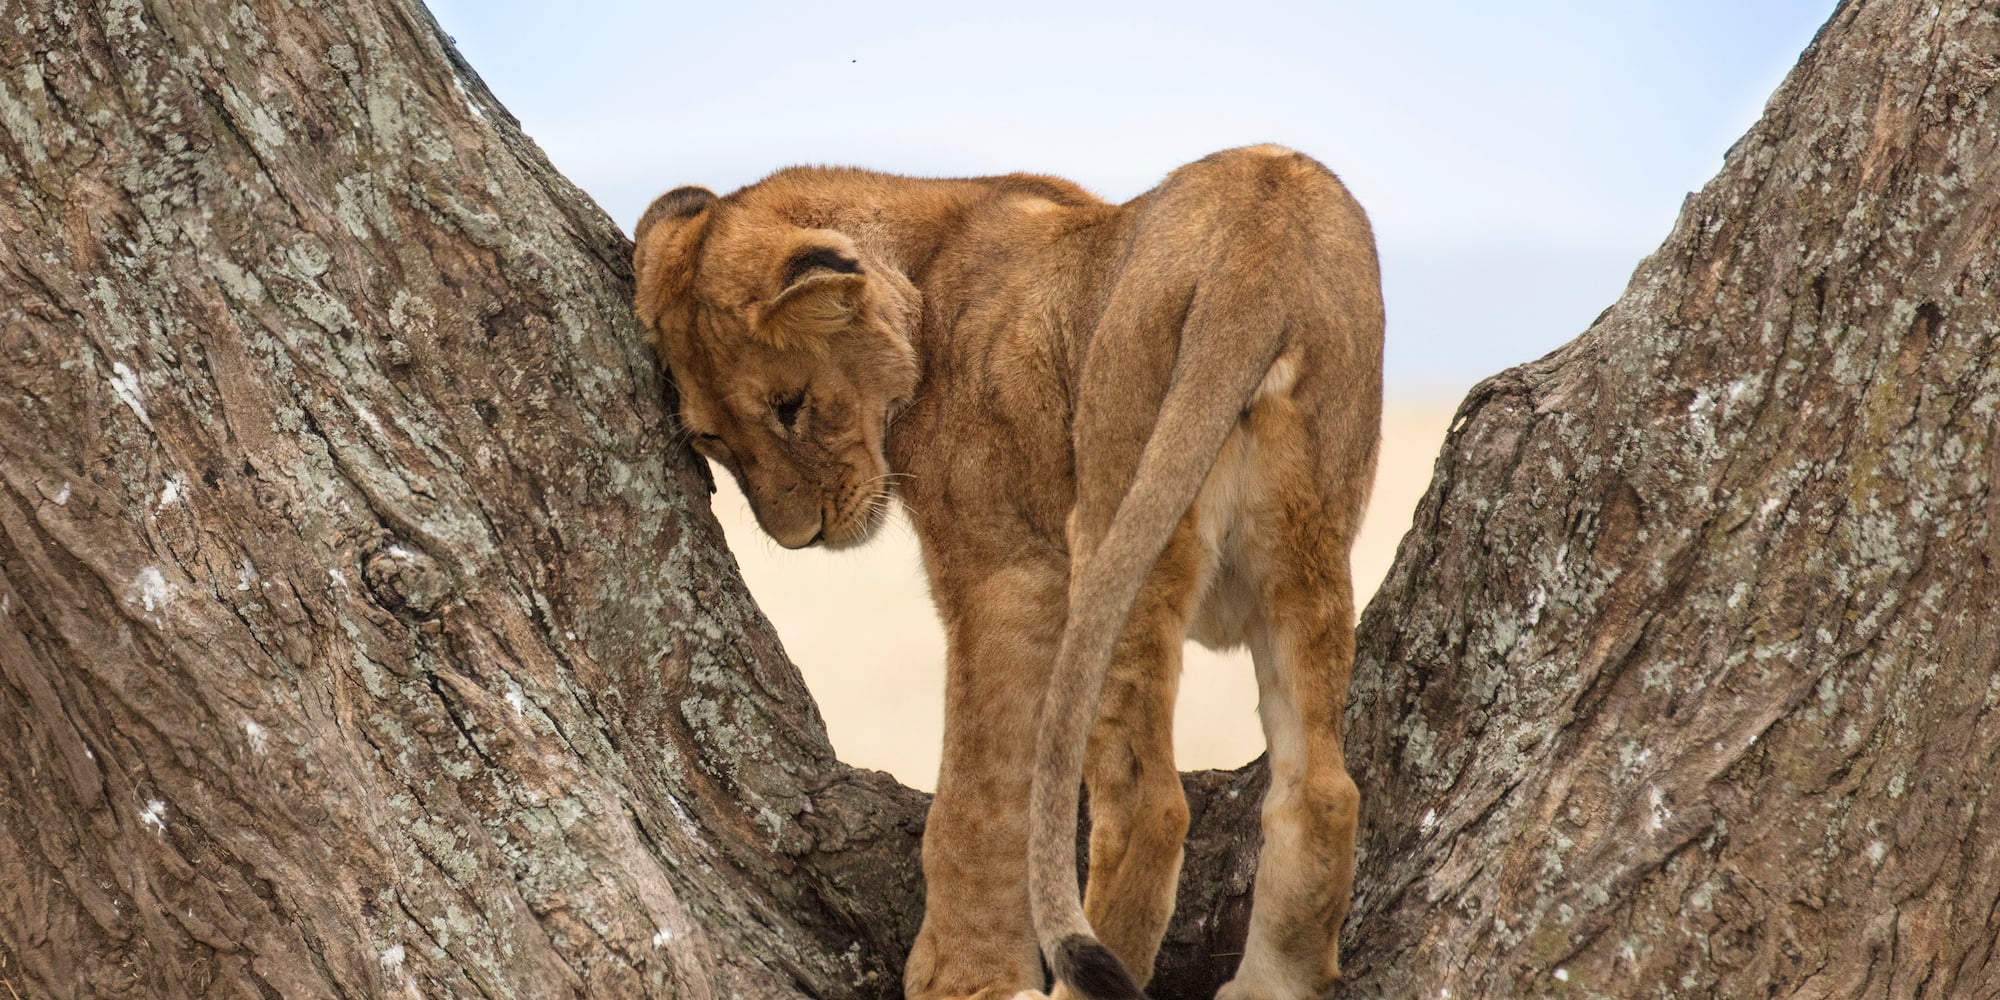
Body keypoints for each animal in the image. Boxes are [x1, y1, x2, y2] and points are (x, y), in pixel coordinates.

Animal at [633, 145, 1382, 1000]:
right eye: (712, 441)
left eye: (790, 407)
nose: (799, 539)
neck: (928, 258)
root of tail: (1260, 255)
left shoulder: (1009, 573)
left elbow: (979, 790)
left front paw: (961, 975)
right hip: (1306, 532)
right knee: (1322, 791)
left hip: (1112, 511)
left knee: (1148, 804)